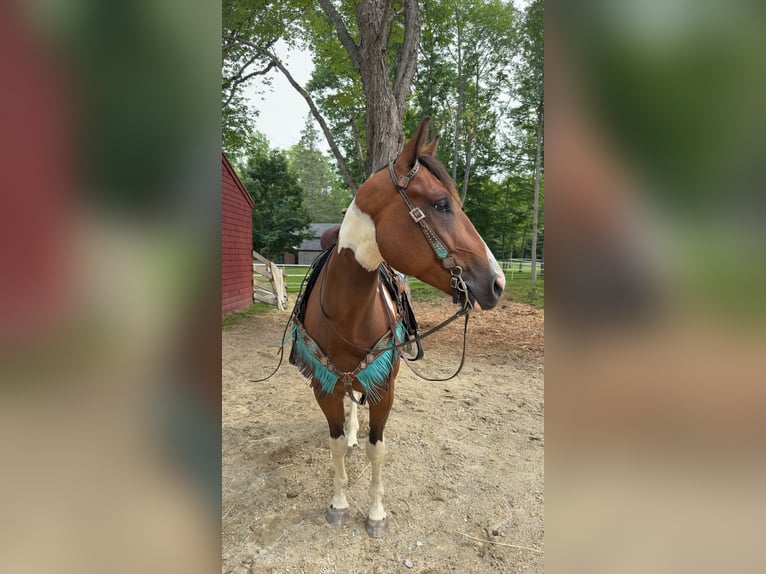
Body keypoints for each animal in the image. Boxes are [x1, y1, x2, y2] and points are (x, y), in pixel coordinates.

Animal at [288, 117, 505, 538]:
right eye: (441, 204)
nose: (497, 283)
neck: (346, 314)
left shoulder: (383, 390)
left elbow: (378, 448)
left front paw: (375, 514)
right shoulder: (323, 386)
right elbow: (335, 443)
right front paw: (339, 504)